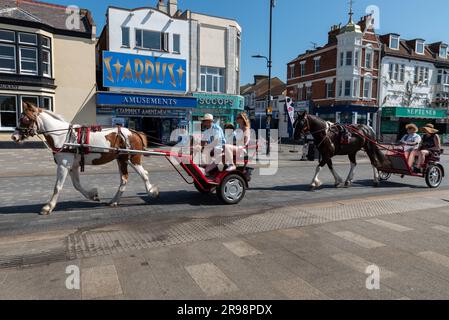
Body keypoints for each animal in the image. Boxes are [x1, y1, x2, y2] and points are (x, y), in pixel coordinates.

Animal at [11, 102, 158, 215]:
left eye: (25, 119)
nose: (14, 137)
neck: (62, 136)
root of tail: (135, 132)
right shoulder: (72, 166)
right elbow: (77, 185)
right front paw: (93, 195)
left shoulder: (63, 165)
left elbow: (57, 186)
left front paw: (48, 207)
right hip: (122, 160)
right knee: (124, 179)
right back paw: (114, 201)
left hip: (132, 158)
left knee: (144, 174)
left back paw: (152, 191)